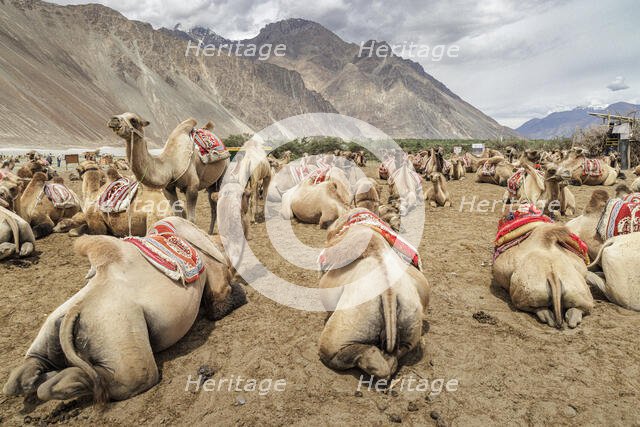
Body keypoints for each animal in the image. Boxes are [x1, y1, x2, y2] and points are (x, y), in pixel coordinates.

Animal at [3, 217, 246, 403]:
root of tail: (77, 311)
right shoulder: (215, 275)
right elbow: (223, 301)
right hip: (116, 324)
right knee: (129, 378)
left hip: (61, 318)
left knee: (31, 364)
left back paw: (37, 379)